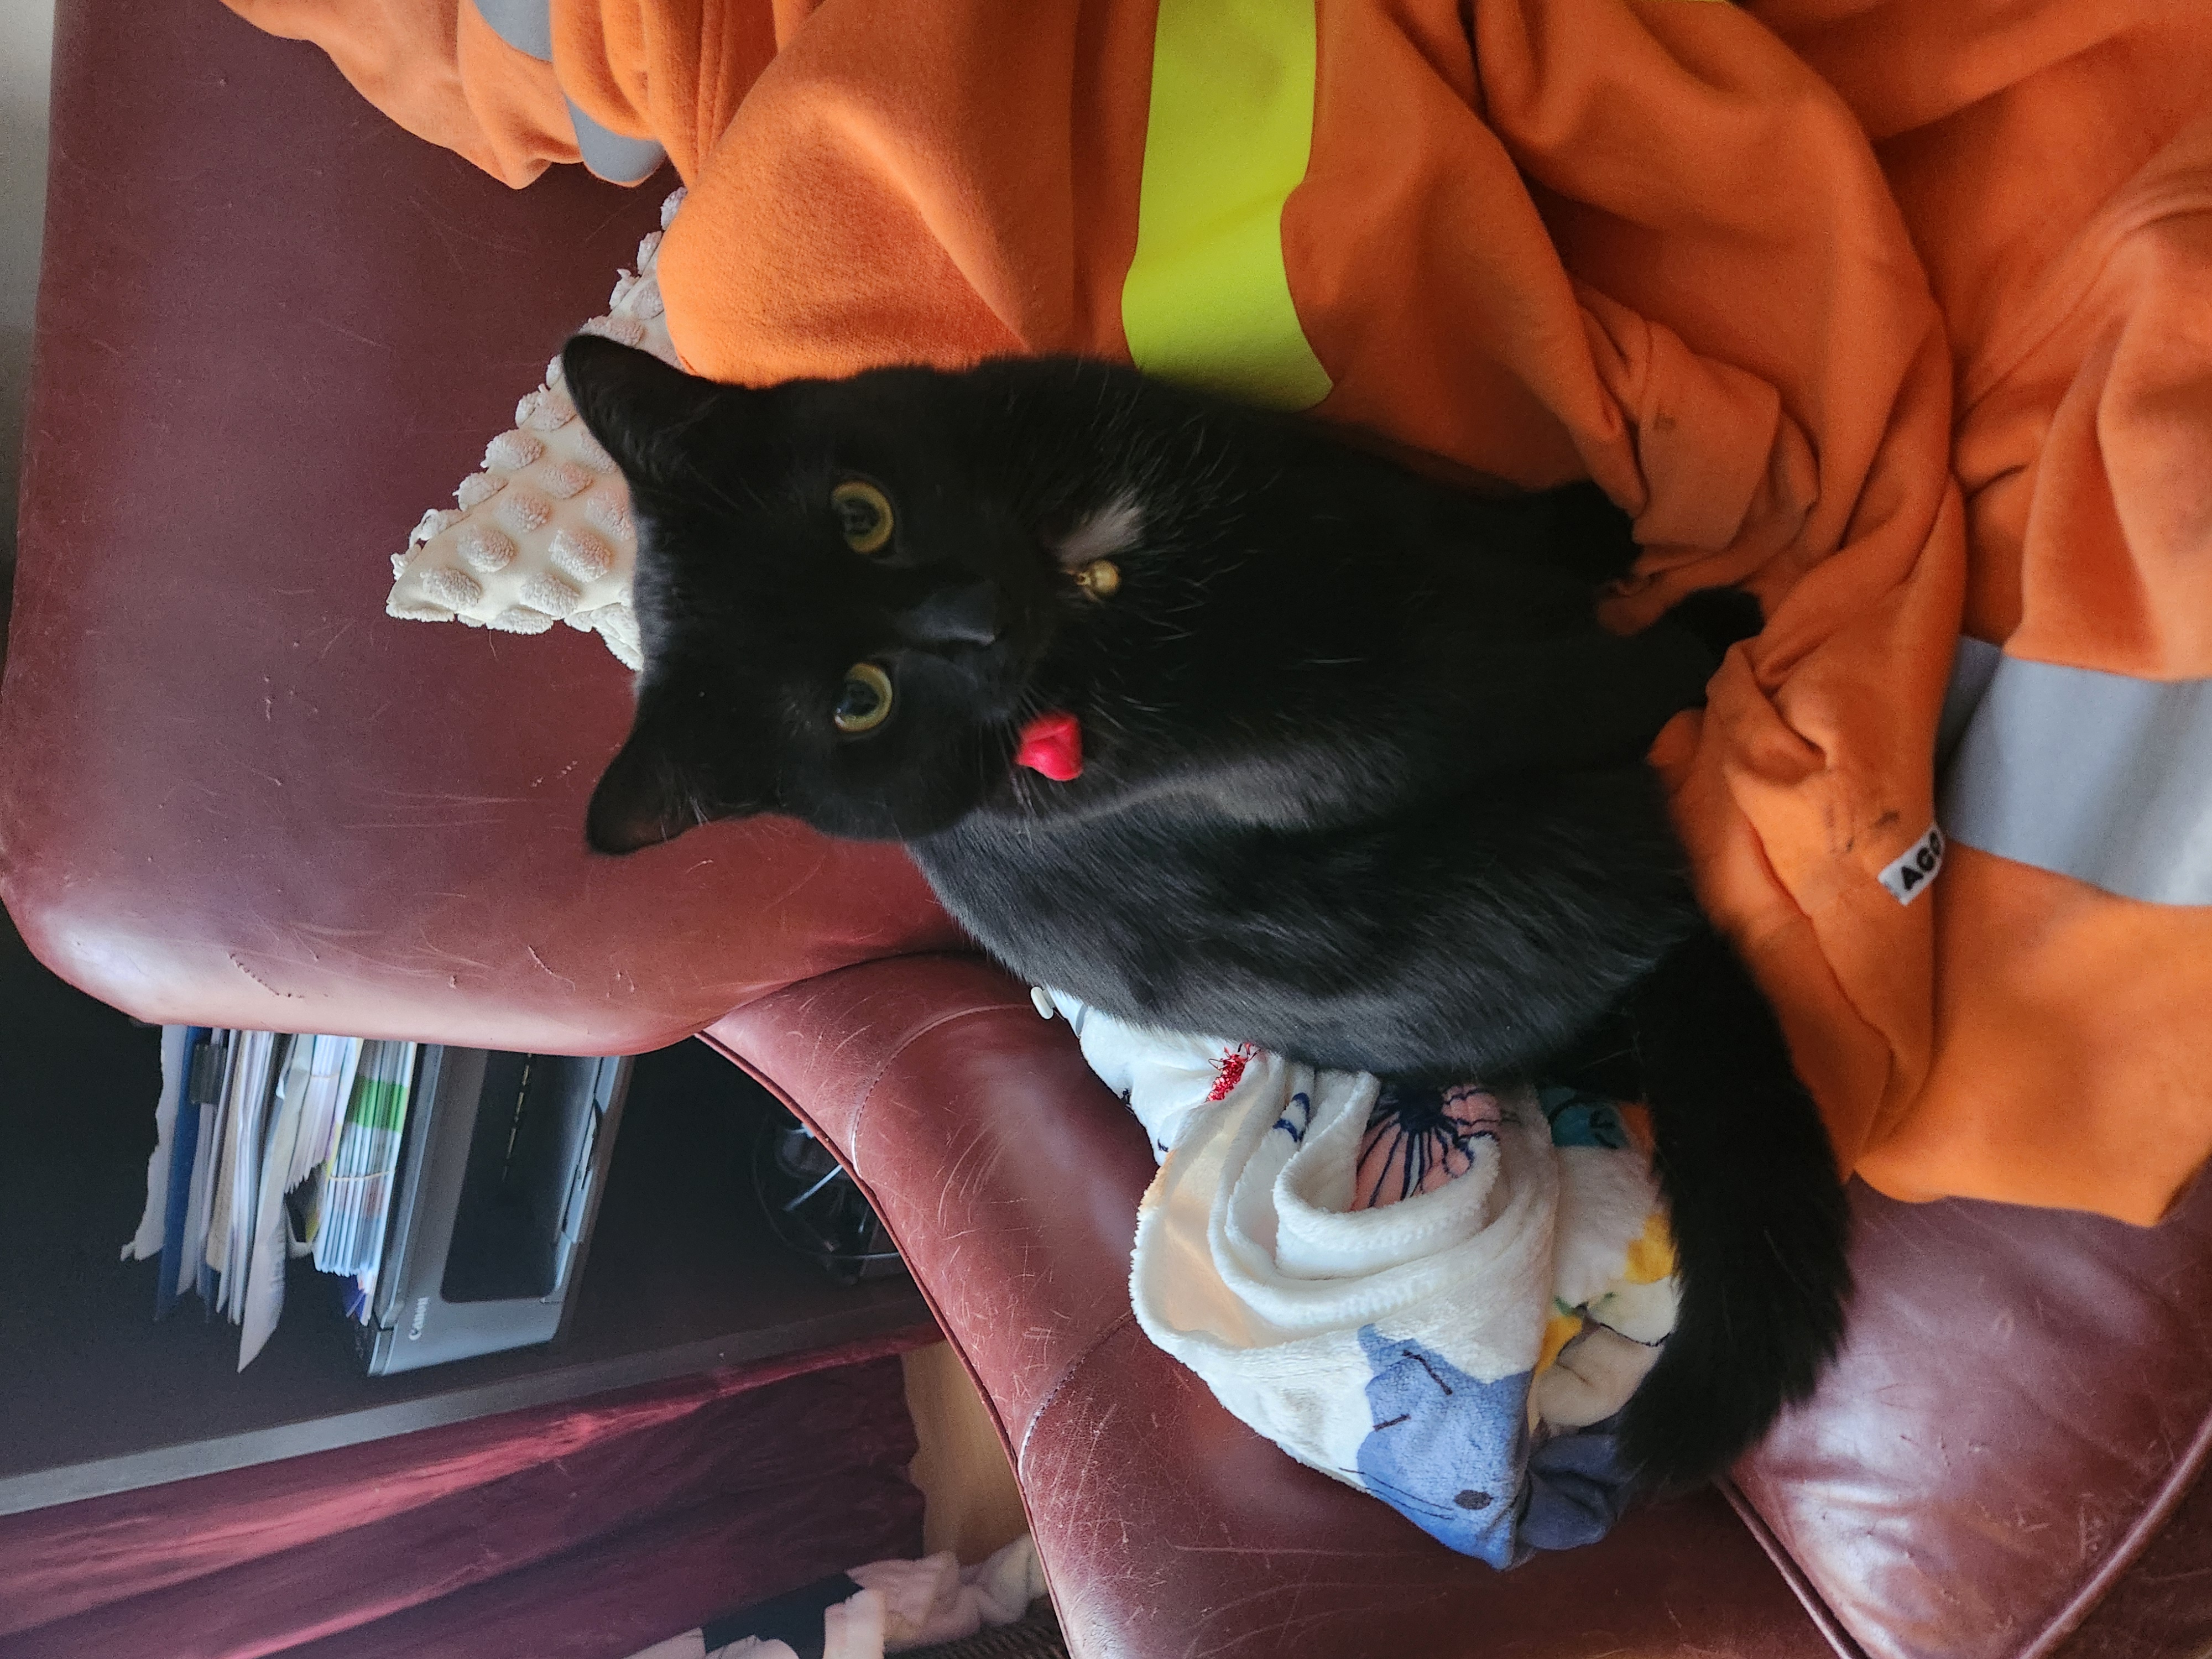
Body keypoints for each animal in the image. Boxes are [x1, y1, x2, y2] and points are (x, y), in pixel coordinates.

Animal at [559, 333, 1850, 1493]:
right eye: (857, 703)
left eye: (860, 513)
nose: (970, 615)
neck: (1084, 577)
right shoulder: (1390, 725)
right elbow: (1564, 686)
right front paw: (1708, 633)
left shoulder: (1335, 493)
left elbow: (1474, 526)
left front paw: (1591, 522)